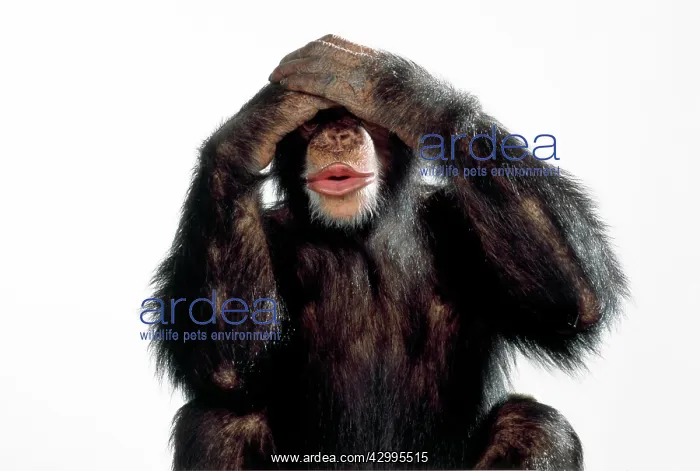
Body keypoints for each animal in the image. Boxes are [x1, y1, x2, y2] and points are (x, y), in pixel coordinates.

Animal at [148, 35, 627, 470]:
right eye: (311, 124)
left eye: (363, 119)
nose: (338, 130)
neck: (358, 234)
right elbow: (231, 363)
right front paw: (265, 115)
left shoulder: (456, 224)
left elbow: (571, 300)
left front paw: (380, 84)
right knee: (221, 421)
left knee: (536, 427)